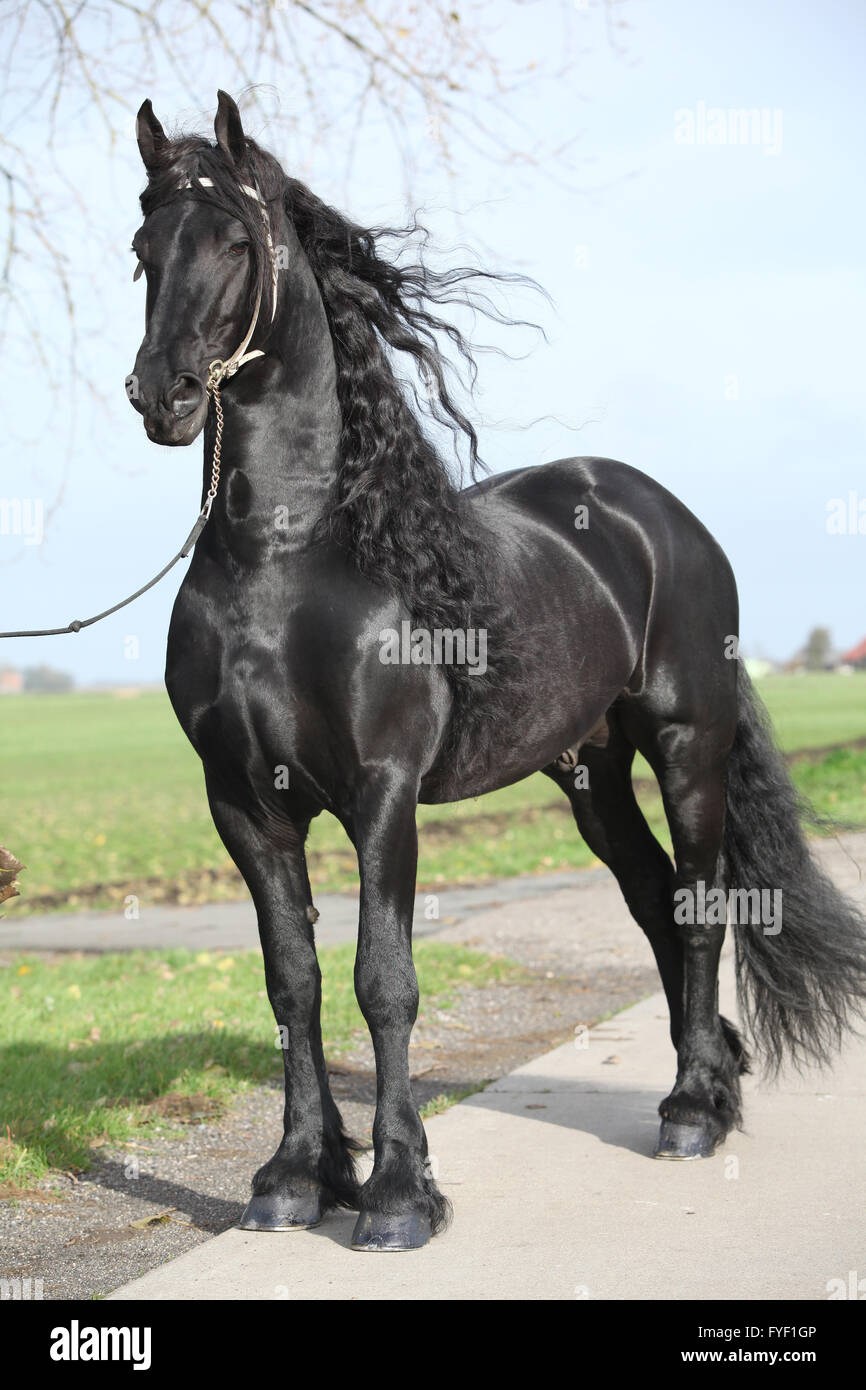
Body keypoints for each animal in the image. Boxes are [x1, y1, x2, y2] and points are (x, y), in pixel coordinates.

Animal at [126, 91, 866, 1252]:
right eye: (142, 249)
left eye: (237, 244)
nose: (160, 397)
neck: (284, 563)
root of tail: (661, 515)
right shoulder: (244, 803)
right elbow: (293, 983)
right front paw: (296, 1176)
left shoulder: (382, 795)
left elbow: (383, 980)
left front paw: (396, 1194)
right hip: (589, 774)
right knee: (654, 902)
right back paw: (708, 1080)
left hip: (686, 745)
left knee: (700, 906)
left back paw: (692, 1113)